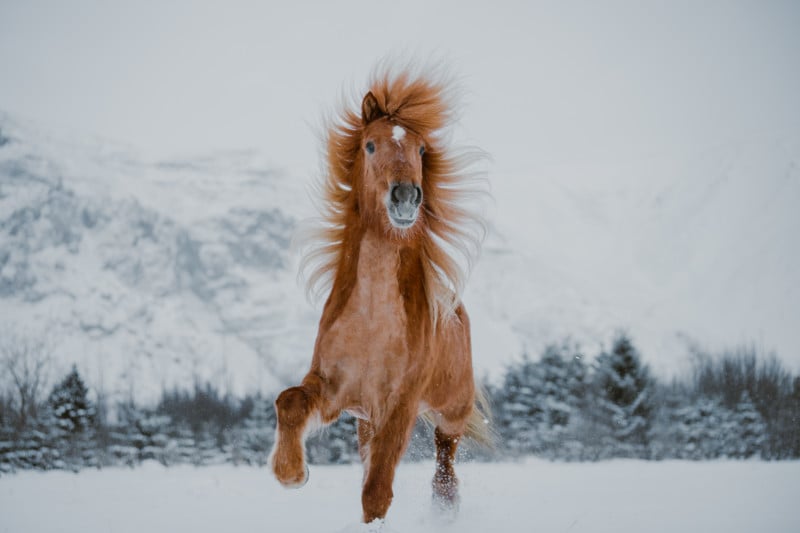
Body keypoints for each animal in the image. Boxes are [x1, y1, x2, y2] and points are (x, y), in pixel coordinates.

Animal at [272, 64, 490, 520]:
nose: (405, 197)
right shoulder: (335, 389)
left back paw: (444, 509)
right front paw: (292, 472)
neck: (372, 320)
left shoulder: (399, 404)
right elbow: (289, 400)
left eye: (422, 150)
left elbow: (376, 490)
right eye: (370, 145)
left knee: (445, 462)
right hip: (365, 420)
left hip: (451, 410)